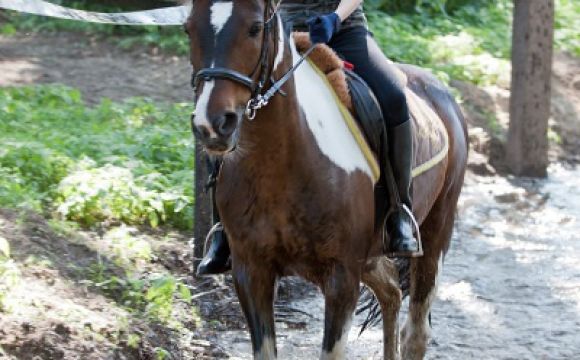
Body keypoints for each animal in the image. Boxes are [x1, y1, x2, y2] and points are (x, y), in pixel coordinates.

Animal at [186, 1, 466, 358]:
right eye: (188, 29)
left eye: (254, 28)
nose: (212, 124)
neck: (279, 166)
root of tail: (443, 92)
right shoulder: (251, 272)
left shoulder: (342, 277)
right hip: (371, 254)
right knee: (390, 290)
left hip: (434, 234)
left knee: (415, 332)